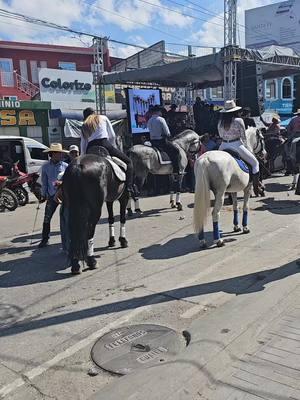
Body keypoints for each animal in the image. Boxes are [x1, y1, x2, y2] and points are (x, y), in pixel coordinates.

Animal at [62, 148, 128, 276]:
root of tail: (78, 166)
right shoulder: (124, 198)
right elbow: (122, 217)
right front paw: (123, 240)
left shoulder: (109, 200)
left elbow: (111, 218)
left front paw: (112, 240)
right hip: (95, 209)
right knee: (89, 230)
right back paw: (91, 261)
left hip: (71, 208)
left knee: (73, 231)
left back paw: (75, 265)